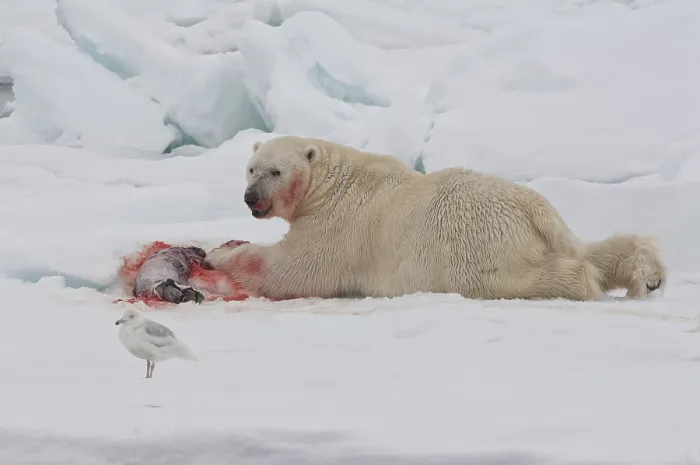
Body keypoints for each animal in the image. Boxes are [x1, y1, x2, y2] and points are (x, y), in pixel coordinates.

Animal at [206, 135, 667, 302]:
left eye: (275, 172)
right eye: (250, 169)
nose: (251, 198)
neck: (330, 183)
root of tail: (532, 209)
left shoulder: (338, 224)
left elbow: (295, 269)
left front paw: (218, 254)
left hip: (474, 243)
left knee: (518, 278)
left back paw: (583, 284)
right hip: (549, 229)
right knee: (596, 248)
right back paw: (649, 274)